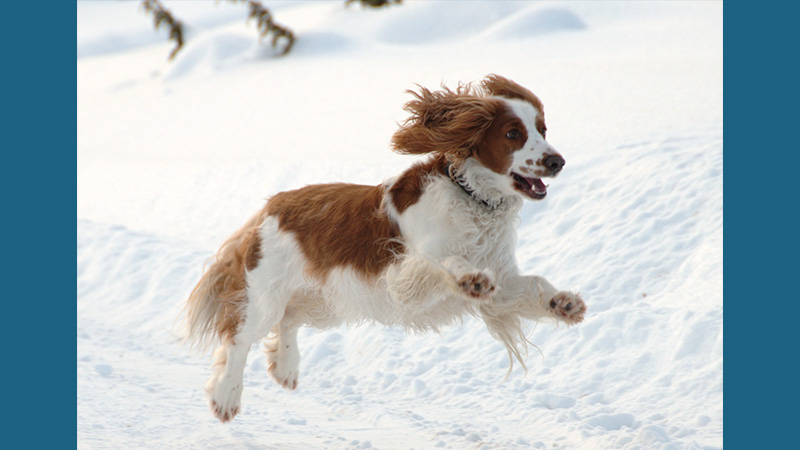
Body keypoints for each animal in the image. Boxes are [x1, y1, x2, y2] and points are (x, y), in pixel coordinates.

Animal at [181, 74, 584, 422]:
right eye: (513, 133)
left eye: (543, 129)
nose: (557, 161)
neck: (473, 198)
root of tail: (271, 205)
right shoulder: (407, 273)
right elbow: (447, 261)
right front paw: (469, 278)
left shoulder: (502, 280)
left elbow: (534, 284)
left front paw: (563, 303)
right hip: (267, 296)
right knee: (240, 339)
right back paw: (226, 397)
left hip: (326, 300)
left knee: (290, 320)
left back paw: (286, 367)